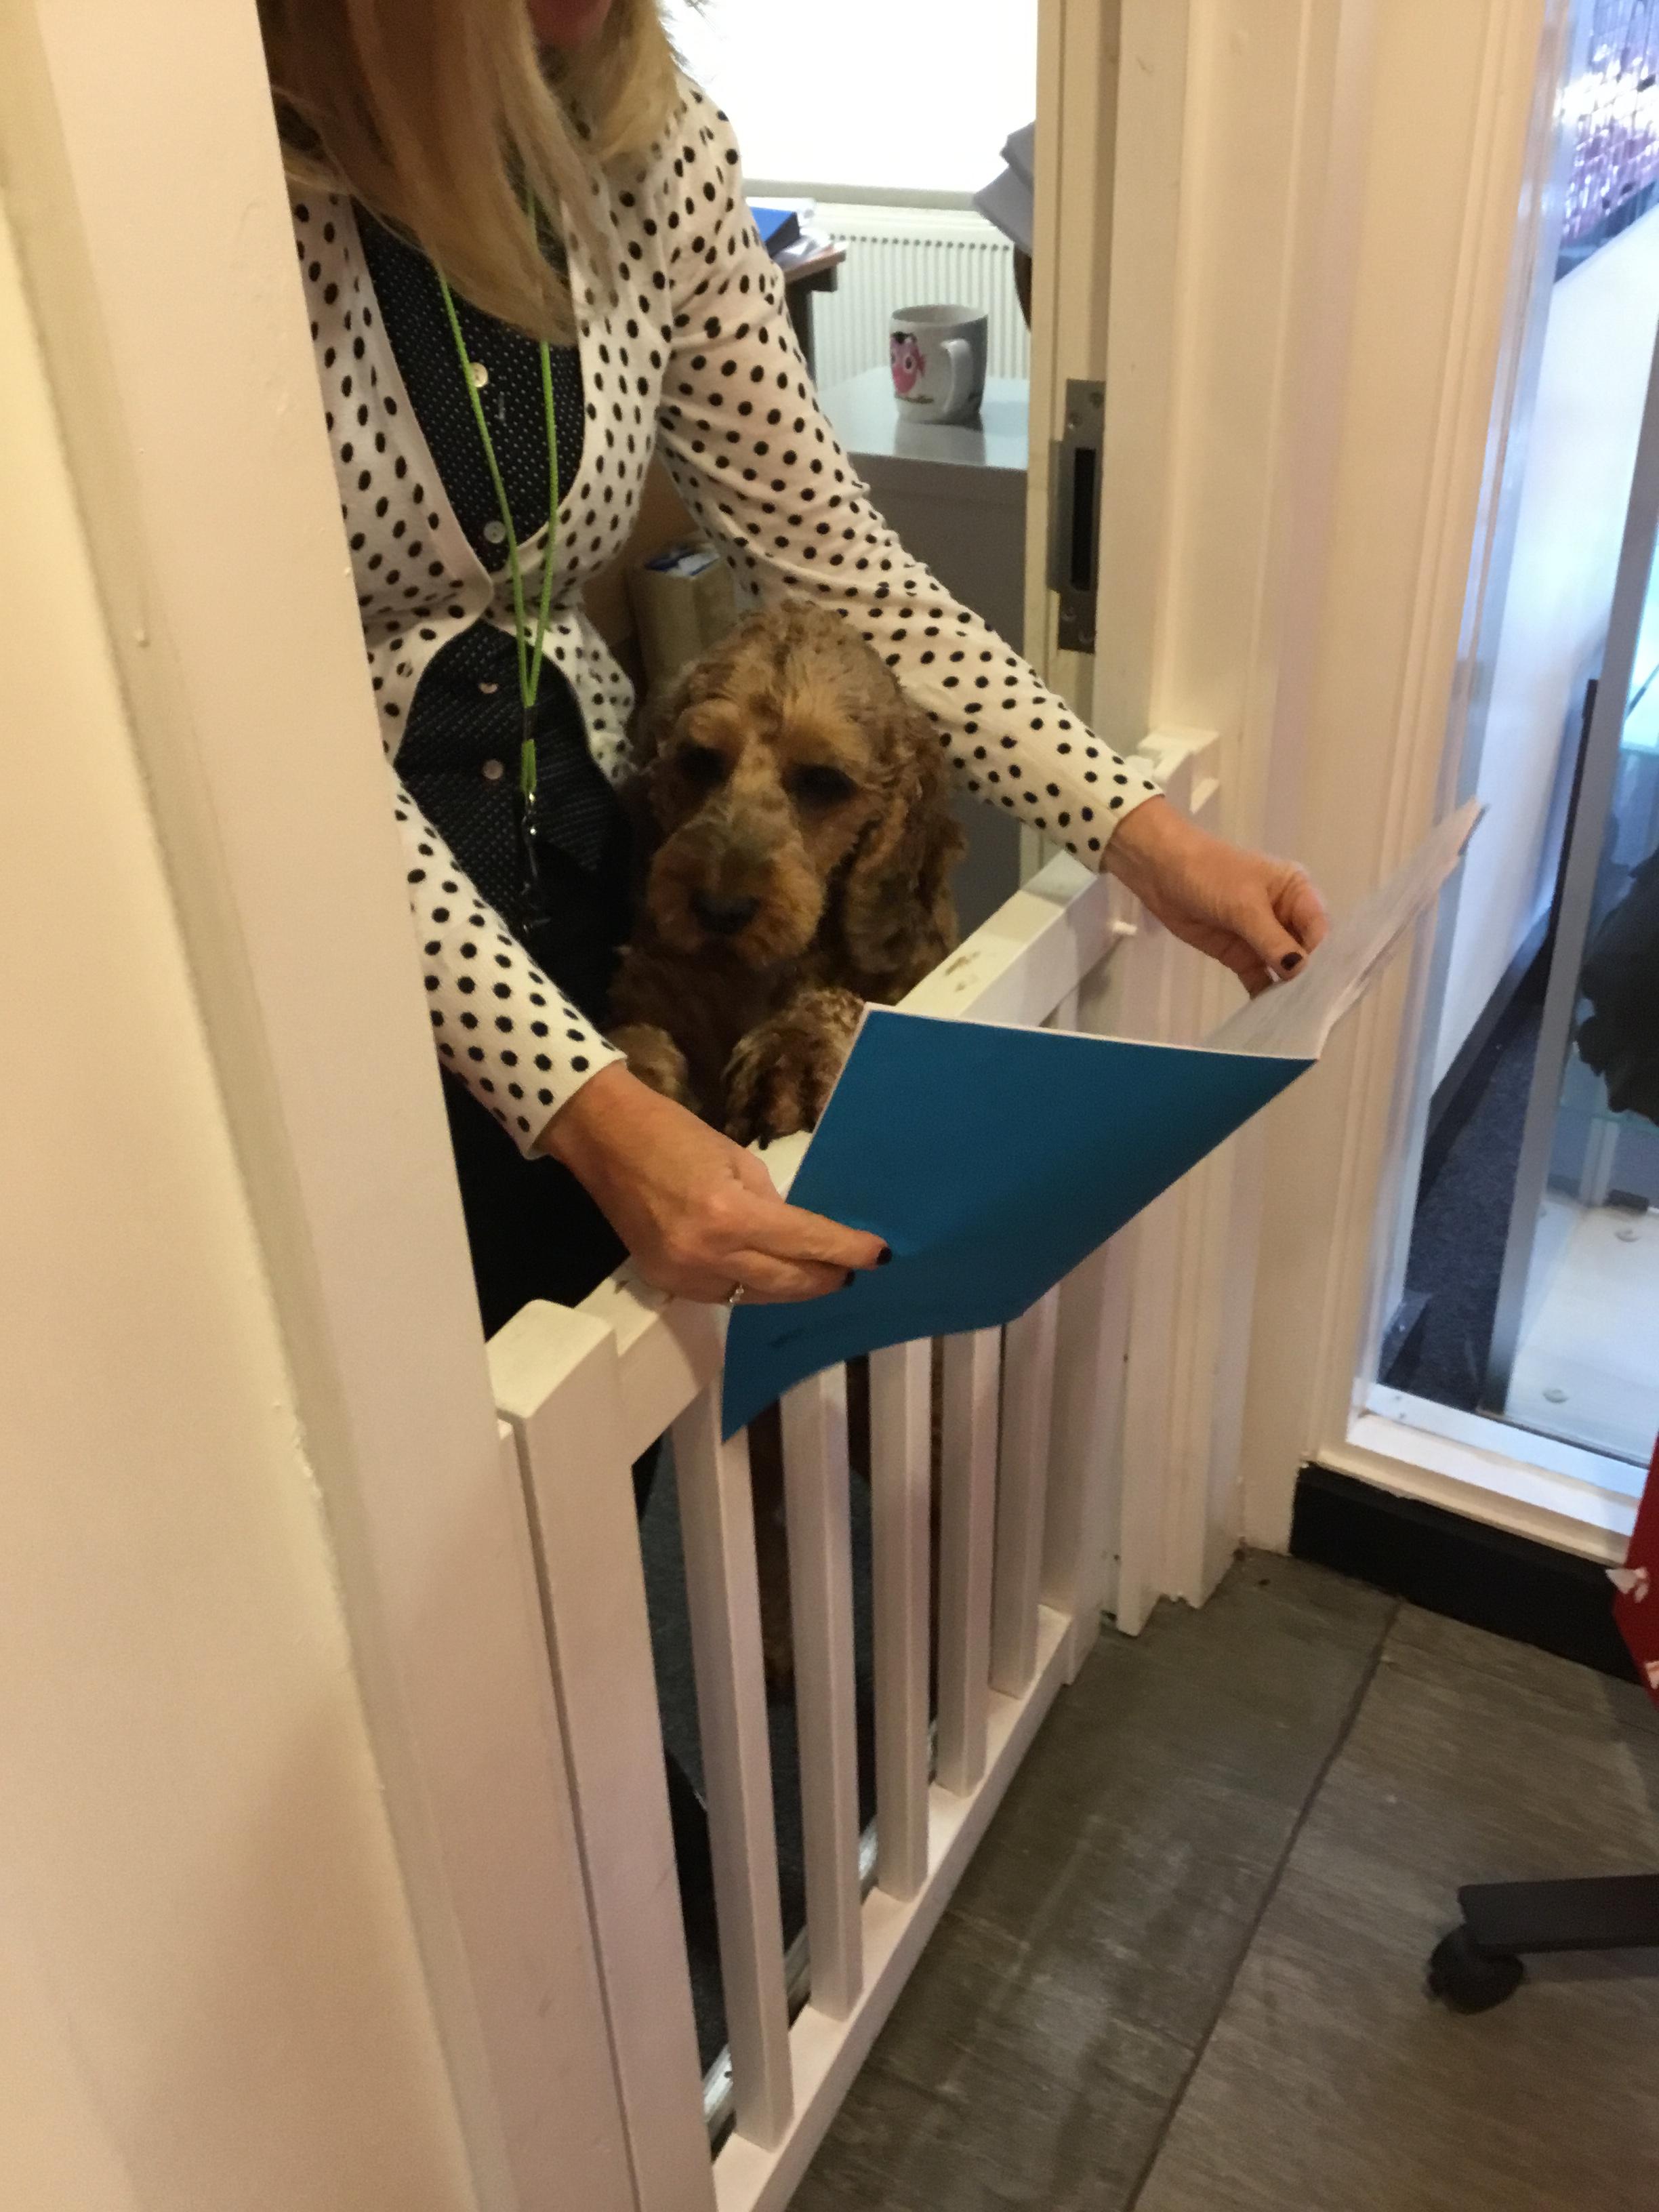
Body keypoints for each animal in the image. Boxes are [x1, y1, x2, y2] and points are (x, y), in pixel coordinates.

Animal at [612, 600, 964, 1684]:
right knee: (769, 1527)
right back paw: (774, 1642)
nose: (717, 908)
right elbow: (640, 1033)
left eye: (823, 783)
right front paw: (640, 1084)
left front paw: (799, 1055)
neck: (755, 973)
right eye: (698, 761)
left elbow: (847, 1006)